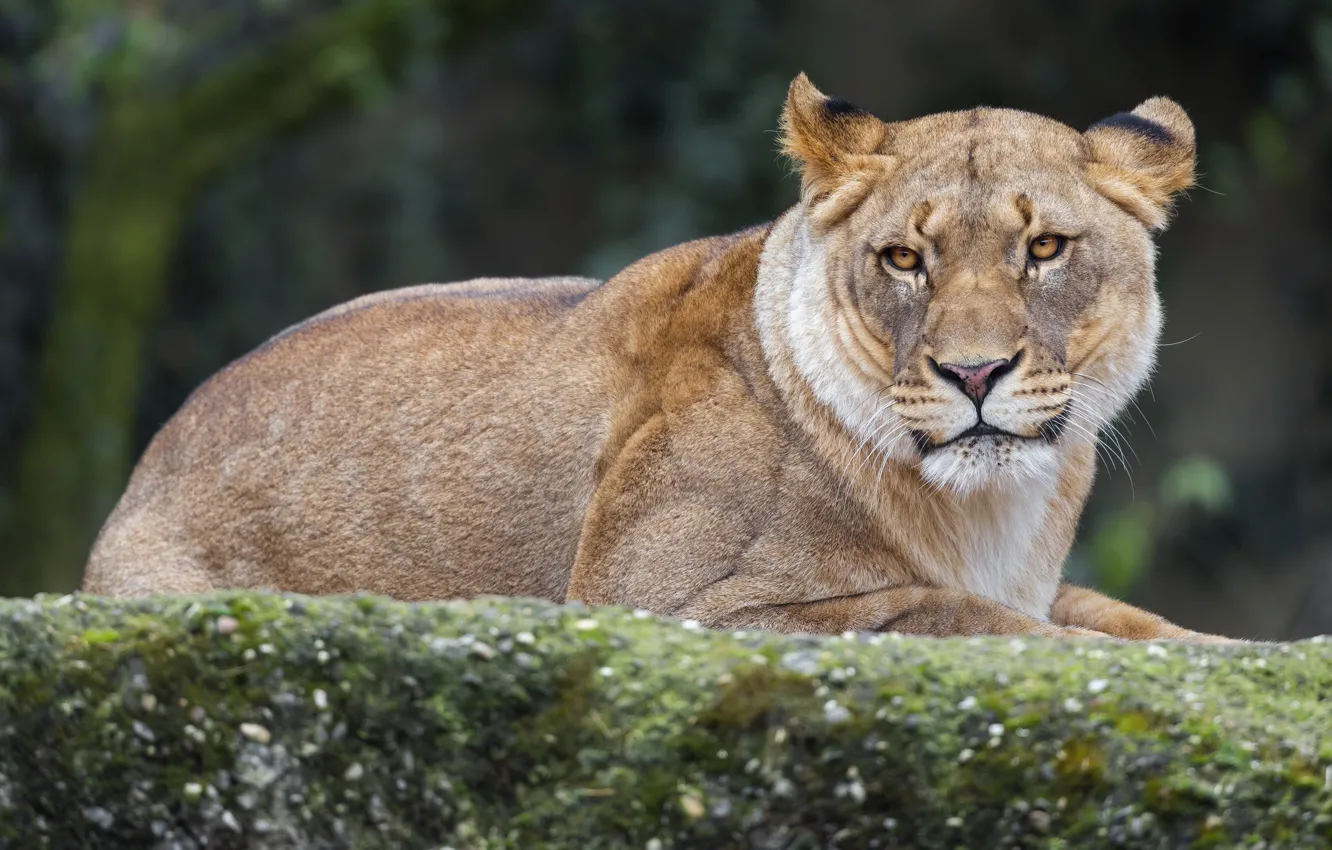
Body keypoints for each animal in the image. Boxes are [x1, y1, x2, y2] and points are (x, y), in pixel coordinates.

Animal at [82, 73, 1236, 642]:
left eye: (1044, 250)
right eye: (905, 259)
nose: (976, 377)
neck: (987, 508)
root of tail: (142, 472)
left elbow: (1127, 618)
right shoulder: (665, 598)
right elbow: (954, 615)